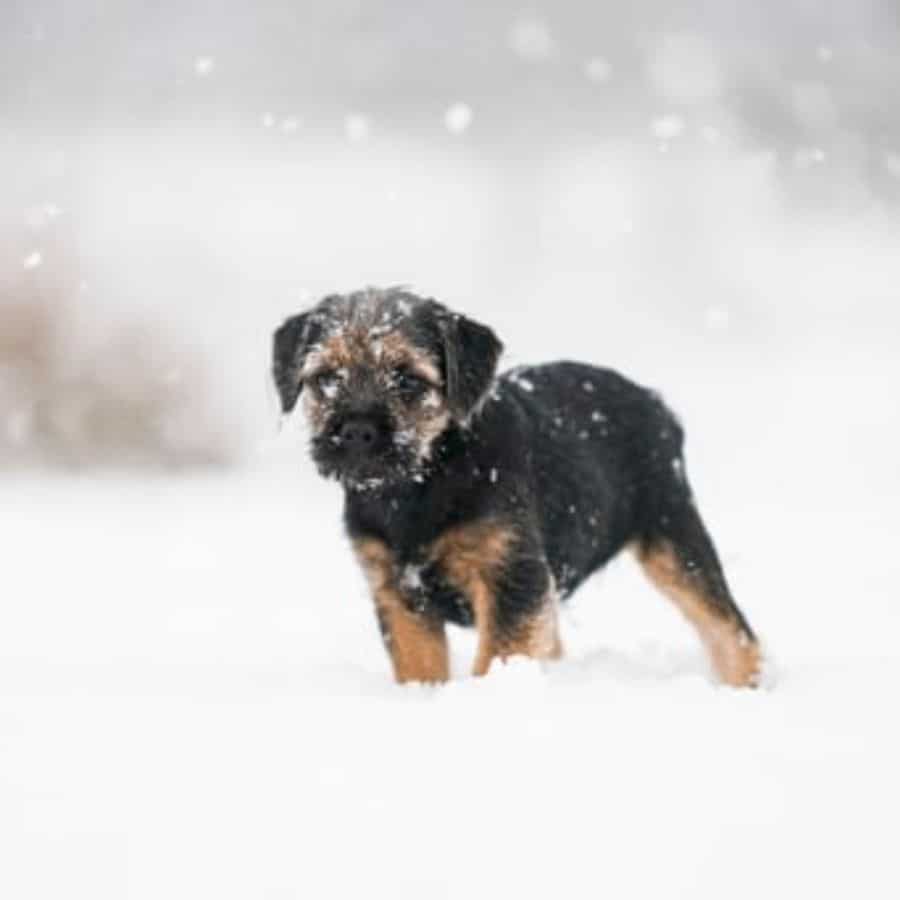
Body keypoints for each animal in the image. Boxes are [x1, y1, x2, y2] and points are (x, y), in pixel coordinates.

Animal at [272, 288, 760, 688]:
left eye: (407, 378)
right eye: (325, 378)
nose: (356, 431)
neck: (420, 484)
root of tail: (656, 402)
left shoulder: (509, 575)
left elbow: (500, 655)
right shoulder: (399, 593)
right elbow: (420, 666)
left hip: (672, 532)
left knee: (728, 628)